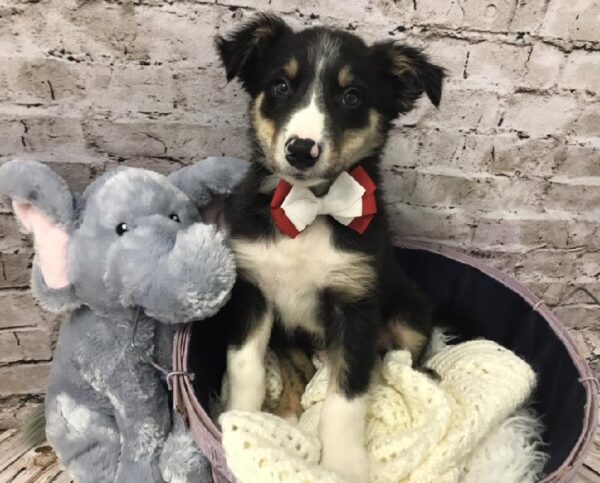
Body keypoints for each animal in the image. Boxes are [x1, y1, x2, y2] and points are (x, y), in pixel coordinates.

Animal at [216, 13, 446, 482]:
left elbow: (346, 396)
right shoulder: (253, 290)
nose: (302, 150)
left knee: (403, 360)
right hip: (289, 336)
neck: (310, 209)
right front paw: (242, 419)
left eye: (352, 97)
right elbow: (246, 366)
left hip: (410, 311)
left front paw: (343, 464)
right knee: (297, 372)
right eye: (280, 86)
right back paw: (287, 412)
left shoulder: (355, 305)